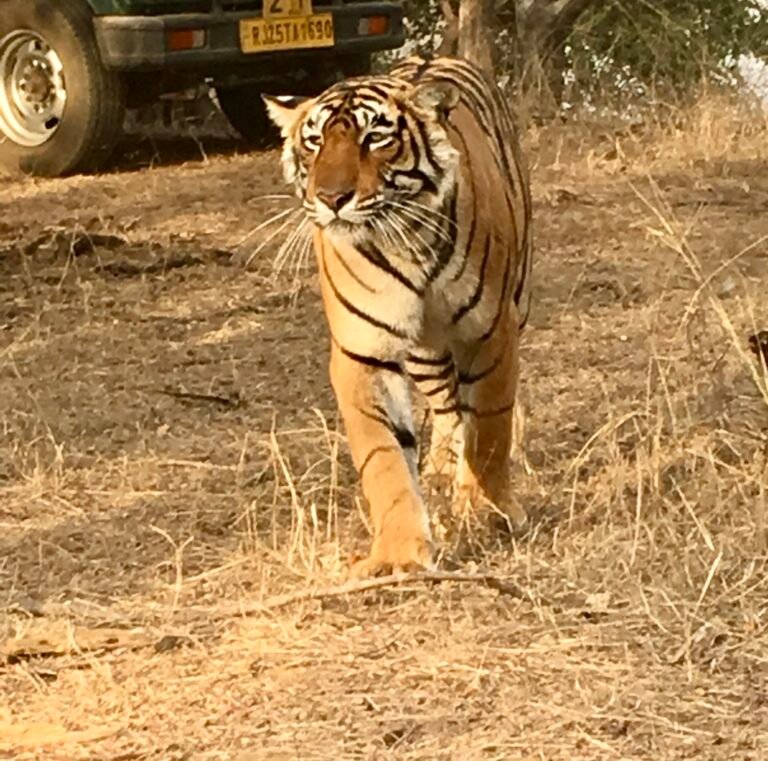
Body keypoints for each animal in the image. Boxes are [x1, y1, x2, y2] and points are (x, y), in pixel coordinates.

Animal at [263, 55, 533, 577]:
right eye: (314, 142)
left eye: (375, 138)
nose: (331, 198)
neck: (404, 241)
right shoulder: (362, 351)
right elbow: (383, 455)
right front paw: (398, 553)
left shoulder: (491, 332)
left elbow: (490, 429)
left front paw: (488, 511)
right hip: (427, 354)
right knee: (447, 407)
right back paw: (440, 472)